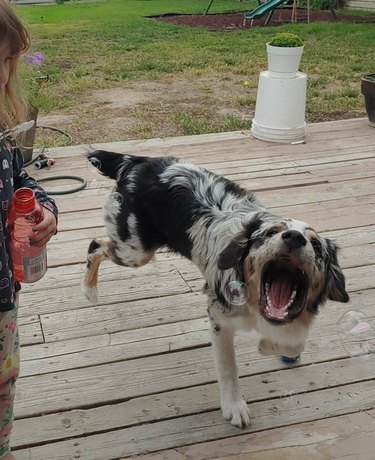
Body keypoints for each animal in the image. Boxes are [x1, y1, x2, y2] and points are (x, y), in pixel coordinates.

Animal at [82, 151, 350, 428]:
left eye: (316, 245)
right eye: (270, 233)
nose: (295, 238)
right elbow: (228, 366)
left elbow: (294, 344)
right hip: (135, 251)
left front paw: (271, 347)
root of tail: (138, 161)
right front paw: (234, 406)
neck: (253, 303)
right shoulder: (219, 318)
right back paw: (90, 291)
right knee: (95, 244)